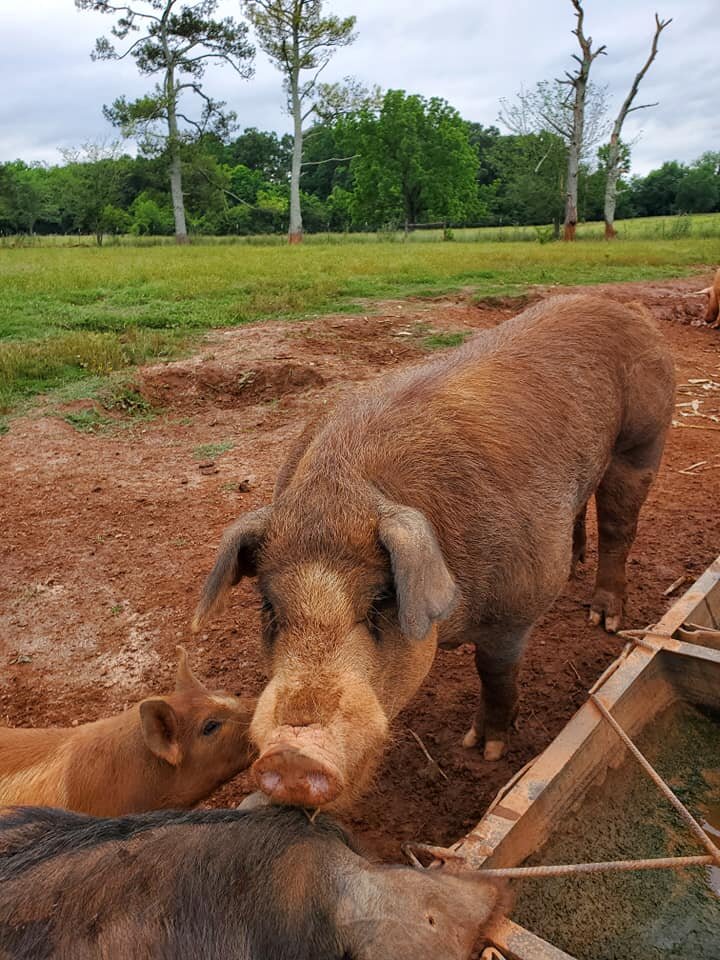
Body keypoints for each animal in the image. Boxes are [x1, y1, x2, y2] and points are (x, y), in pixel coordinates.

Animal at [193, 294, 675, 810]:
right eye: (268, 607)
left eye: (379, 602)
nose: (292, 757)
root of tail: (616, 302)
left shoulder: (518, 603)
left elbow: (495, 670)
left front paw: (484, 749)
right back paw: (578, 558)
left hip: (644, 437)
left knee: (620, 525)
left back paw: (604, 618)